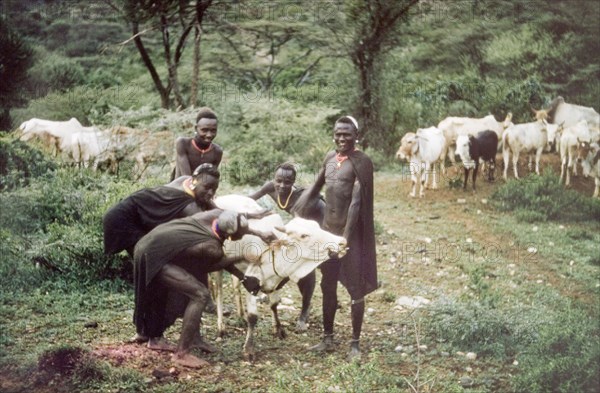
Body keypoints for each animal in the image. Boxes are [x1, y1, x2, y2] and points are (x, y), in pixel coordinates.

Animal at [216, 194, 346, 360]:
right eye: (304, 235)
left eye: (317, 226)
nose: (342, 242)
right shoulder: (251, 281)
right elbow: (253, 316)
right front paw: (249, 349)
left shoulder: (278, 280)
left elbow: (274, 304)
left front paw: (278, 329)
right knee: (218, 291)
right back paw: (221, 327)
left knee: (235, 285)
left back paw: (240, 315)